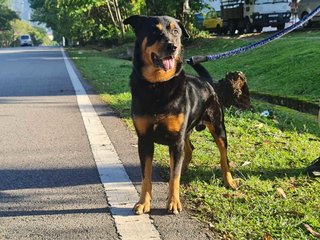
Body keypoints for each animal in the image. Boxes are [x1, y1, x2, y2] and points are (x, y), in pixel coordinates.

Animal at [124, 14, 240, 214]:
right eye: (154, 31)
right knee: (189, 150)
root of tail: (207, 82)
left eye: (176, 31)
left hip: (218, 128)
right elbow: (146, 175)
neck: (158, 85)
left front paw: (174, 202)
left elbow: (174, 176)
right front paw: (143, 202)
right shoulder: (145, 140)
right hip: (185, 132)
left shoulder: (175, 139)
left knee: (223, 157)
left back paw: (229, 180)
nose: (172, 47)